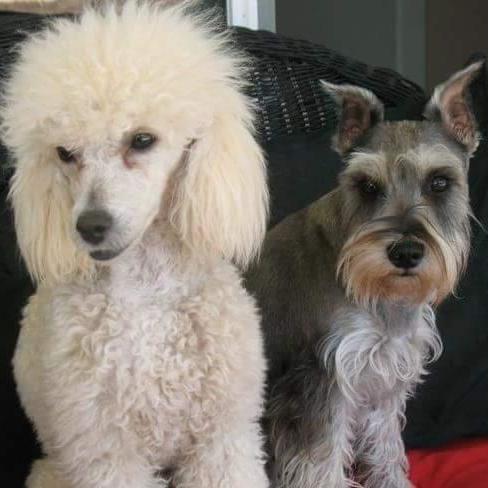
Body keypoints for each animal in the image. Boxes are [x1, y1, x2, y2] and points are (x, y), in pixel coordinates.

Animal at [1, 2, 269, 487]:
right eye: (65, 153)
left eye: (142, 140)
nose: (90, 226)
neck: (147, 288)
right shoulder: (106, 451)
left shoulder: (223, 437)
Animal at [246, 62, 483, 488]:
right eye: (368, 185)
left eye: (439, 182)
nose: (405, 252)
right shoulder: (323, 378)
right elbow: (323, 460)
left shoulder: (385, 374)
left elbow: (386, 443)